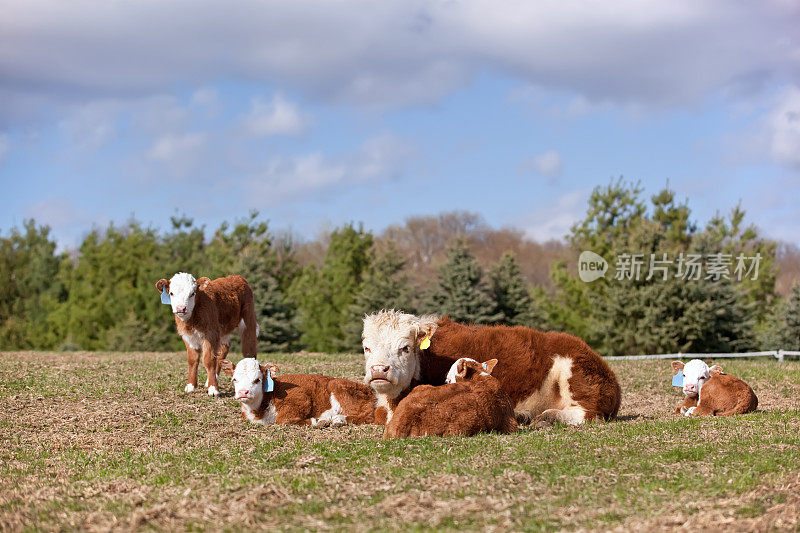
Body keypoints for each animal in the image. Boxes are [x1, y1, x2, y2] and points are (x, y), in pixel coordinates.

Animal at [217, 358, 382, 428]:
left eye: (257, 379)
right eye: (234, 379)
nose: (243, 392)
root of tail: (369, 390)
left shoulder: (300, 396)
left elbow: (283, 420)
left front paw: (318, 421)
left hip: (340, 389)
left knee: (368, 416)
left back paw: (338, 419)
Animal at [364, 310, 624, 426]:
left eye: (405, 347)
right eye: (366, 348)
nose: (379, 370)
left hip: (574, 371)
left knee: (588, 413)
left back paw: (546, 417)